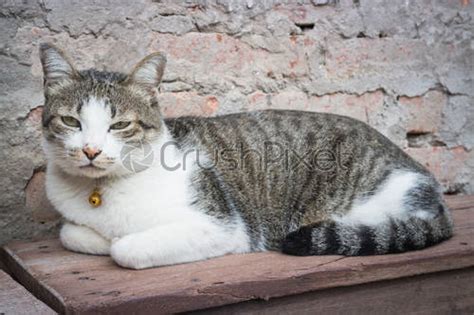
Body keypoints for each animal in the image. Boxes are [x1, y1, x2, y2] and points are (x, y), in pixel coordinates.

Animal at [39, 43, 452, 270]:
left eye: (120, 125)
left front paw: (120, 241)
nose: (91, 149)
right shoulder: (75, 222)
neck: (101, 192)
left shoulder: (223, 227)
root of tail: (429, 184)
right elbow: (71, 233)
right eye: (71, 121)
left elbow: (124, 248)